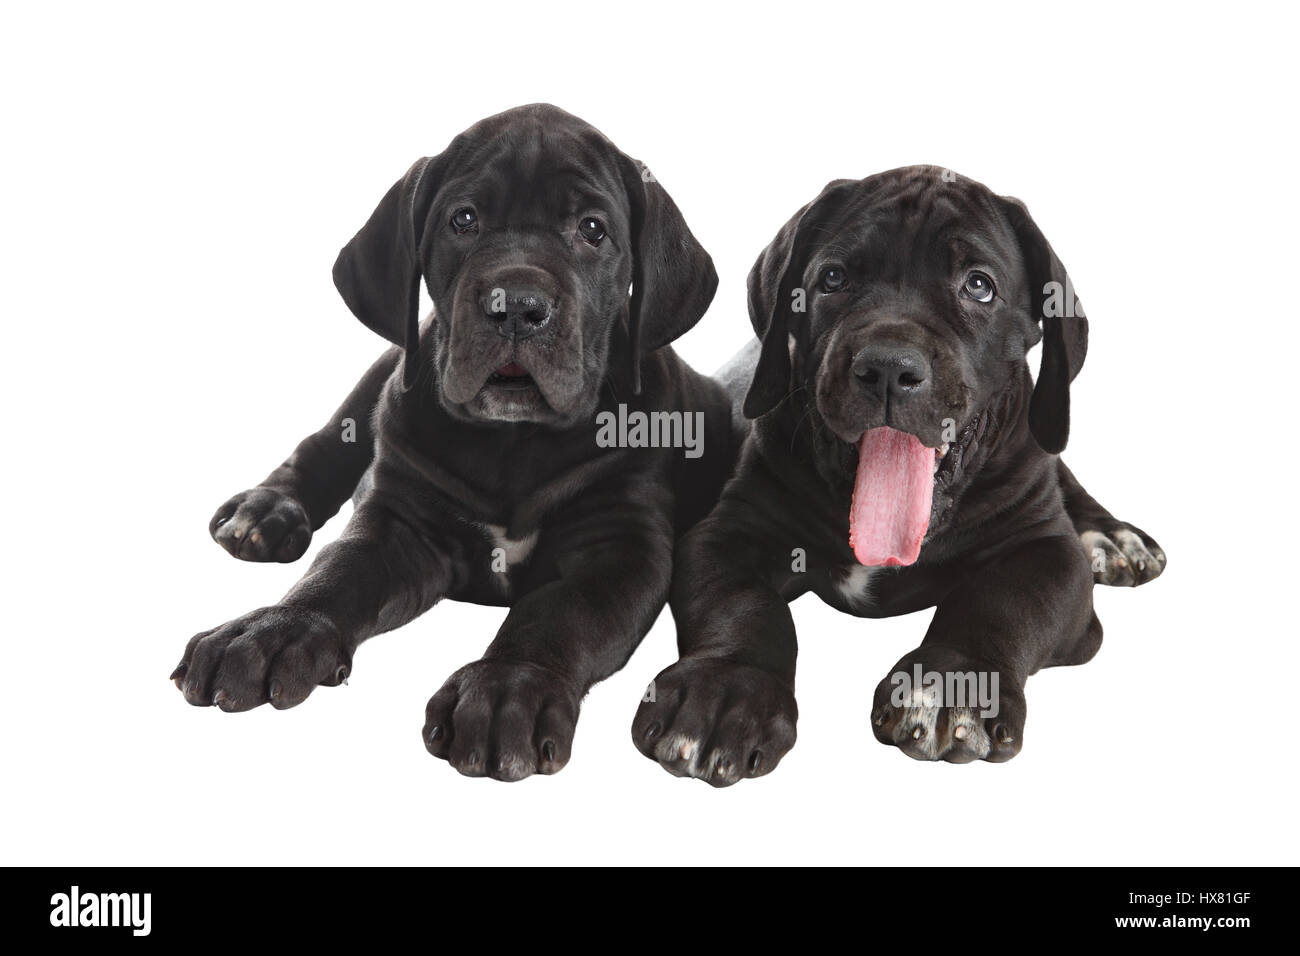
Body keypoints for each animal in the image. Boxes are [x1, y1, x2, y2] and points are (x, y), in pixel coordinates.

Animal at [174, 102, 738, 780]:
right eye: (463, 219)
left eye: (593, 229)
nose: (516, 305)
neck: (514, 443)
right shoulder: (399, 522)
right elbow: (337, 572)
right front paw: (270, 630)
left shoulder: (621, 546)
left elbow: (557, 613)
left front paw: (505, 689)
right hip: (386, 366)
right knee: (325, 443)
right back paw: (265, 512)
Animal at [639, 166, 1170, 785]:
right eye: (834, 278)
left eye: (979, 285)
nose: (889, 367)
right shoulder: (725, 533)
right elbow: (743, 606)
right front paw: (724, 689)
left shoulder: (1046, 552)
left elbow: (999, 601)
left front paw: (951, 685)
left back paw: (1111, 535)